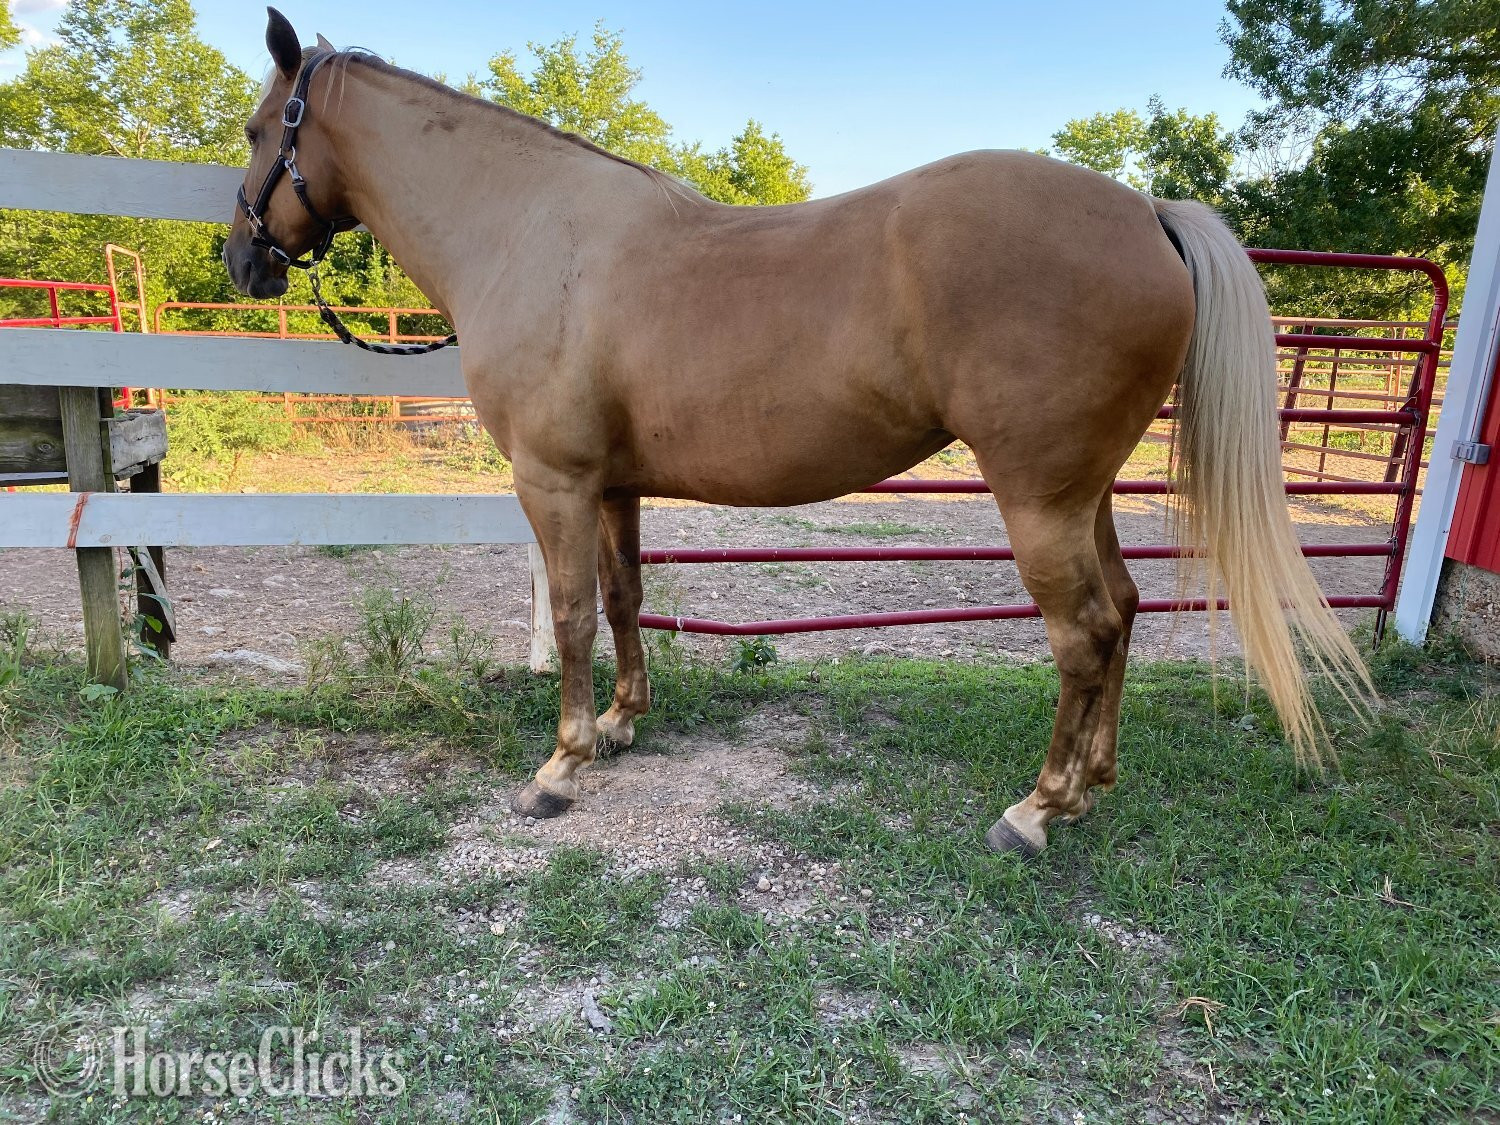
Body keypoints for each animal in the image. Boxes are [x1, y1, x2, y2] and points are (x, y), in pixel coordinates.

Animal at [224, 9, 1371, 858]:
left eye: (256, 132)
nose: (242, 261)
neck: (530, 233)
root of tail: (1148, 214)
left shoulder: (553, 482)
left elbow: (571, 617)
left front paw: (559, 767)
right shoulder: (612, 484)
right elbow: (624, 599)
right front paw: (623, 725)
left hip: (1037, 498)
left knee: (1083, 631)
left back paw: (1036, 811)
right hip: (1080, 494)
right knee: (1125, 610)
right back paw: (1094, 785)